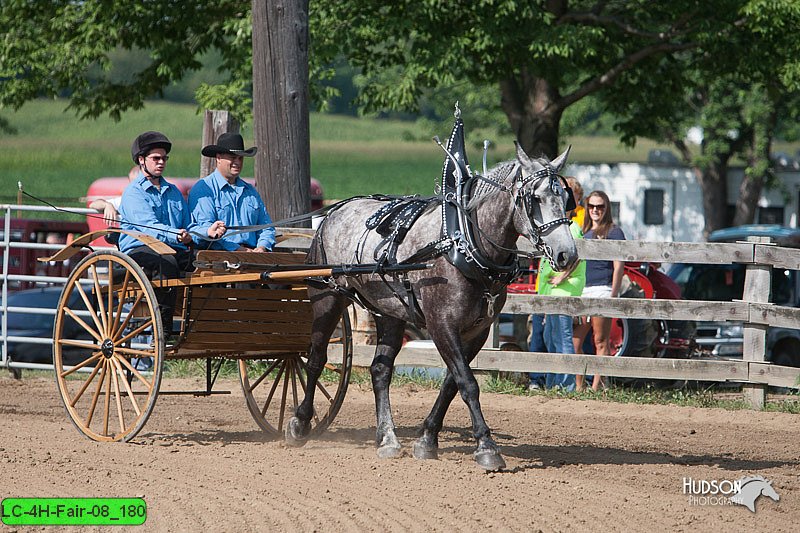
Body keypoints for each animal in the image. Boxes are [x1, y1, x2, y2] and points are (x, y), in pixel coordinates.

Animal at [286, 142, 576, 470]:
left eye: (565, 199)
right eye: (535, 198)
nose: (567, 254)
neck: (463, 242)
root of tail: (334, 212)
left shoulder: (476, 331)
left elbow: (452, 383)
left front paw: (427, 440)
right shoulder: (441, 325)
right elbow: (468, 383)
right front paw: (487, 447)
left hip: (390, 312)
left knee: (380, 370)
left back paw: (387, 438)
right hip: (327, 299)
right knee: (316, 360)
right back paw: (300, 423)